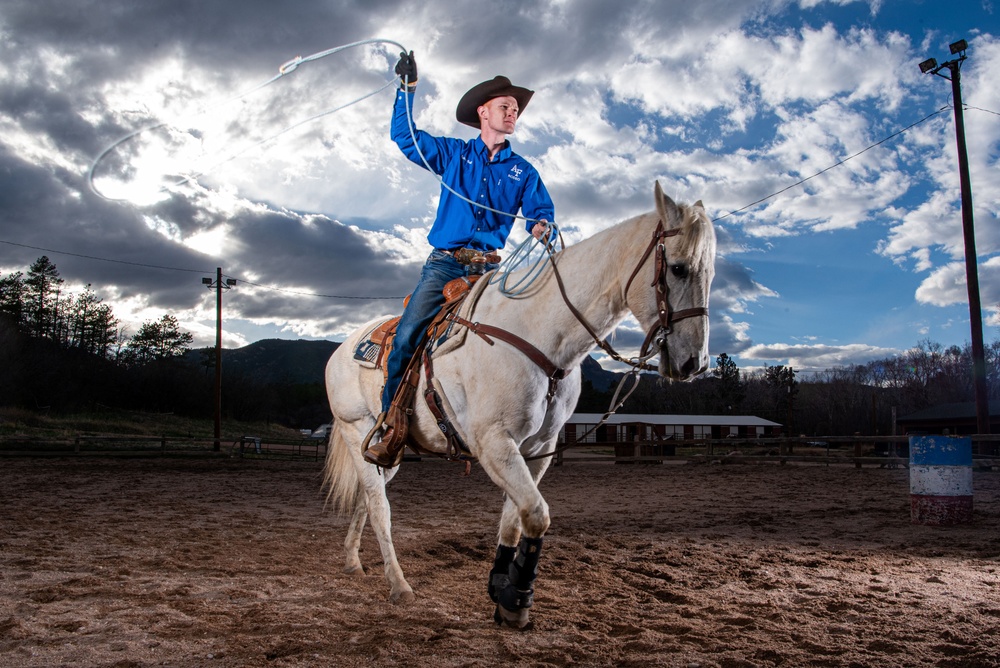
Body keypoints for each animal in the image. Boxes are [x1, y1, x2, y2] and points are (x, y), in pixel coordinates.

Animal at [324, 181, 716, 628]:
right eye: (678, 268)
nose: (695, 363)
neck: (539, 334)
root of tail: (342, 349)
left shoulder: (538, 449)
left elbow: (515, 519)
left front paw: (501, 586)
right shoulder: (494, 443)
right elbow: (537, 513)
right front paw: (517, 601)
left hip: (387, 453)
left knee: (366, 501)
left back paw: (354, 561)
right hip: (358, 430)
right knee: (379, 508)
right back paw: (399, 584)